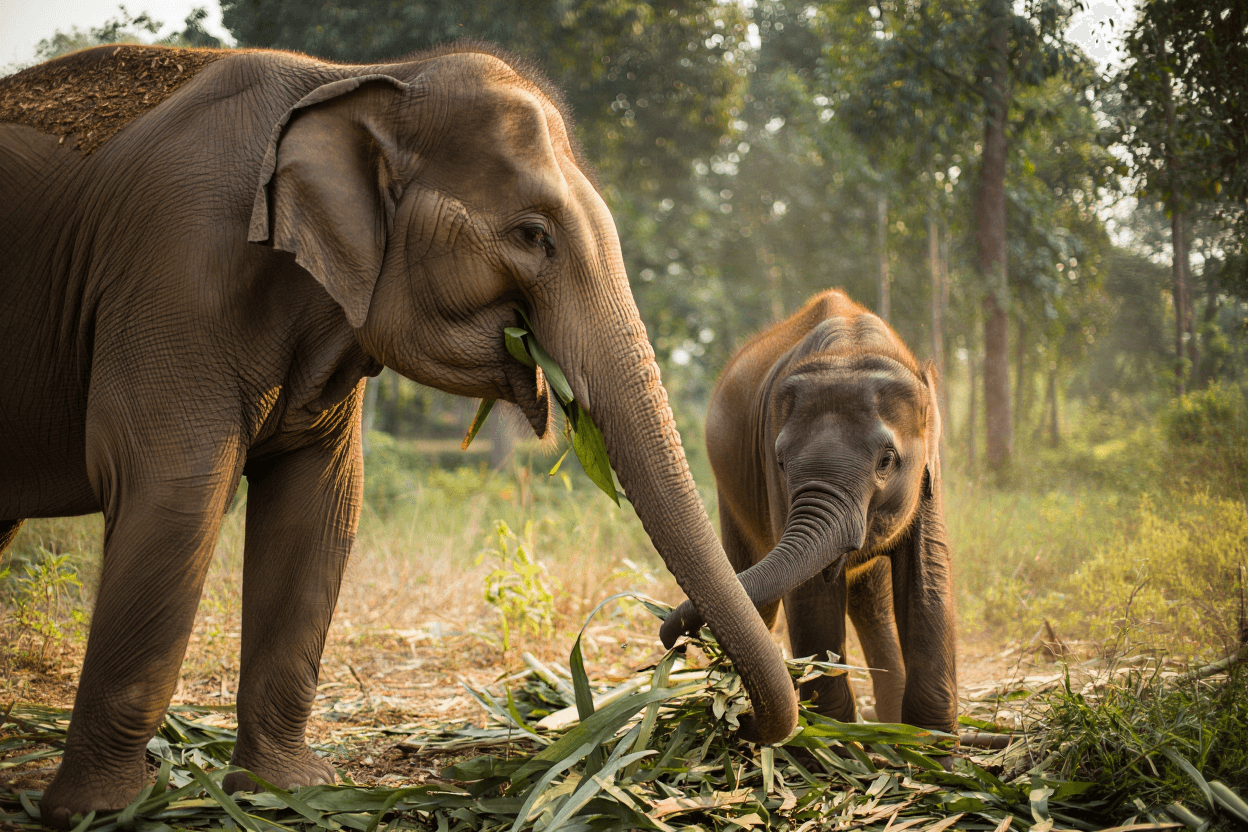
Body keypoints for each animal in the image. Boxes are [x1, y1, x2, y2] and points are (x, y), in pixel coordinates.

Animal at [0, 42, 801, 825]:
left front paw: (286, 793)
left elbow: (320, 507)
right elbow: (175, 493)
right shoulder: (175, 272)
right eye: (532, 235)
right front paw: (102, 813)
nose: (675, 640)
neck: (365, 79)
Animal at [660, 289, 957, 732]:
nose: (674, 642)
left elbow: (929, 578)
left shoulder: (928, 480)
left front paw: (927, 747)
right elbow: (812, 594)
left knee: (871, 602)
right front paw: (835, 740)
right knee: (763, 600)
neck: (851, 350)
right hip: (731, 497)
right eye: (782, 462)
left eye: (886, 461)